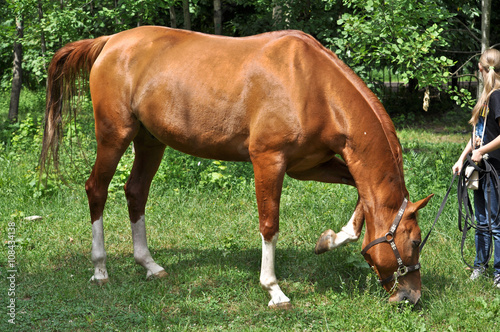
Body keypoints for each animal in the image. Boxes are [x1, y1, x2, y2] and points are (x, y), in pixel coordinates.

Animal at [41, 26, 434, 308]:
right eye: (414, 242)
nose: (411, 297)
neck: (312, 85)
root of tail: (109, 42)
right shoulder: (269, 161)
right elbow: (269, 224)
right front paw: (274, 290)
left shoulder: (309, 165)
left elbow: (359, 193)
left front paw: (330, 240)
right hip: (114, 135)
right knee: (96, 189)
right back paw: (100, 270)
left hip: (150, 141)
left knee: (135, 192)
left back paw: (150, 265)